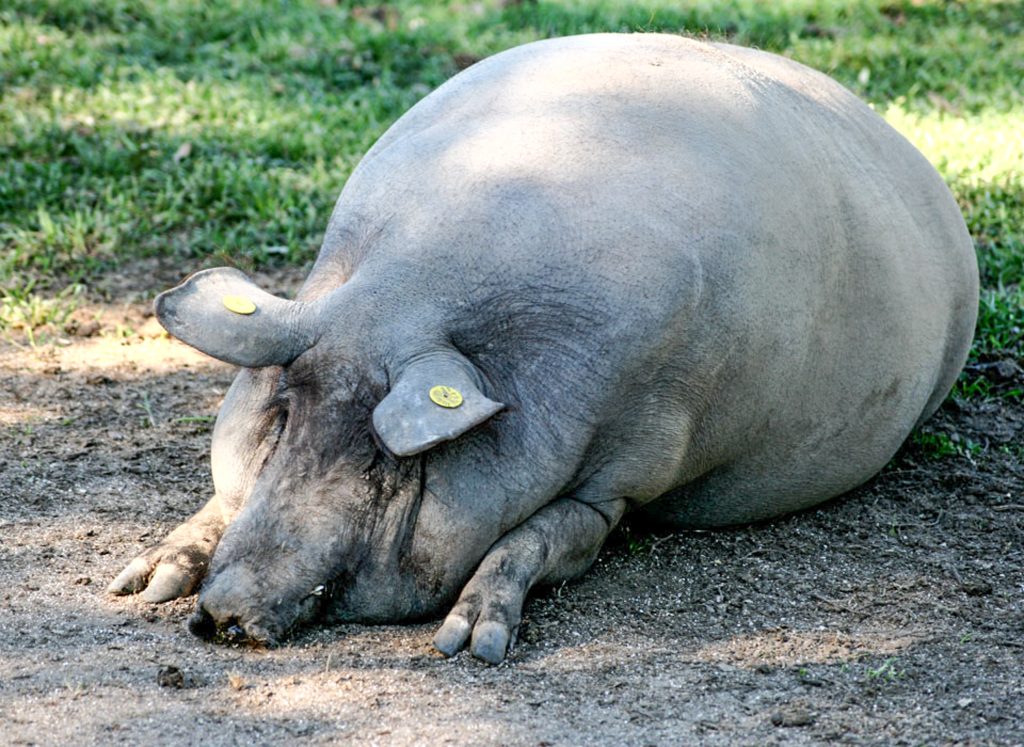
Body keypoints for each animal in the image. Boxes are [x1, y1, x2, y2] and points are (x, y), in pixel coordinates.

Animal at [110, 33, 974, 664]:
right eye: (282, 416)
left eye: (382, 458)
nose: (224, 614)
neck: (415, 293)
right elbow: (225, 499)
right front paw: (138, 586)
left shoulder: (633, 468)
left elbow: (543, 536)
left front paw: (468, 645)